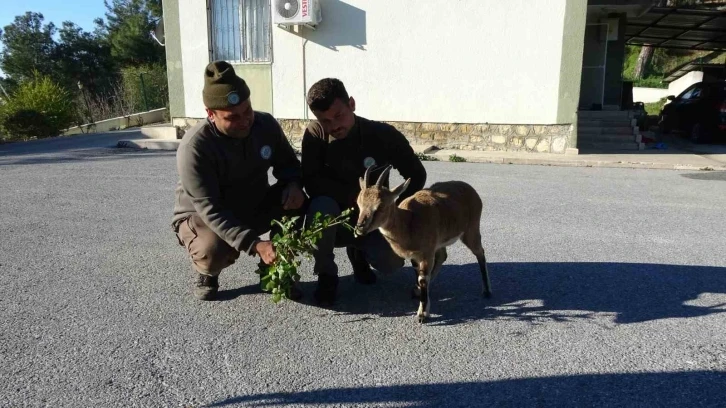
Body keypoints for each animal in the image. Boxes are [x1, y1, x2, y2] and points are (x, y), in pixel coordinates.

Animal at [354, 165, 492, 322]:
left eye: (381, 206)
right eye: (359, 204)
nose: (360, 228)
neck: (409, 222)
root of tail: (471, 190)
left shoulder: (426, 253)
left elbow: (423, 279)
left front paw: (422, 314)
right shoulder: (416, 255)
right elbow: (419, 274)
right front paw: (418, 293)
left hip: (471, 230)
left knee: (480, 252)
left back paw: (487, 291)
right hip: (440, 242)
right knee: (443, 255)